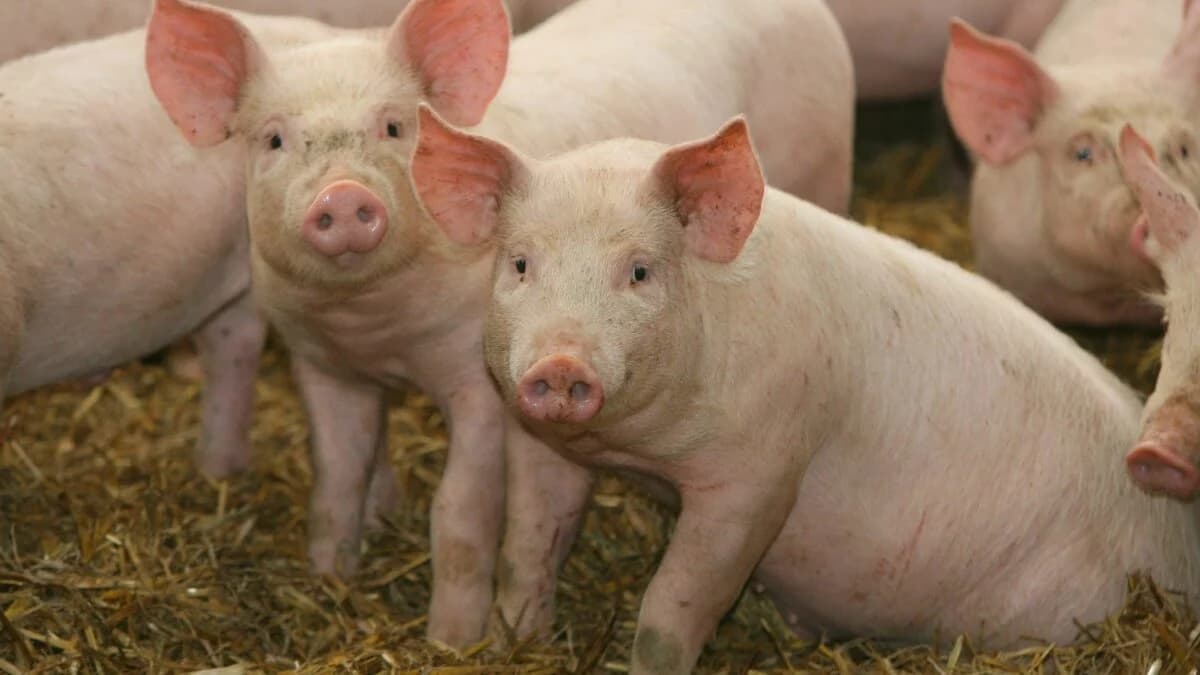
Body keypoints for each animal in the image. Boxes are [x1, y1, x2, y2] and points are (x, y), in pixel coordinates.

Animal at [143, 0, 853, 648]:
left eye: (394, 126)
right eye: (273, 139)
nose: (343, 197)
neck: (377, 328)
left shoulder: (480, 380)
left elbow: (459, 510)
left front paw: (452, 642)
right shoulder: (322, 365)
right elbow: (336, 478)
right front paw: (331, 579)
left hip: (825, 169)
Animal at [410, 107, 1200, 674]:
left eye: (639, 271)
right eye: (520, 263)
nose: (561, 363)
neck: (641, 452)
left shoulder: (760, 472)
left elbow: (673, 607)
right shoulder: (544, 443)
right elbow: (528, 549)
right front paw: (509, 641)